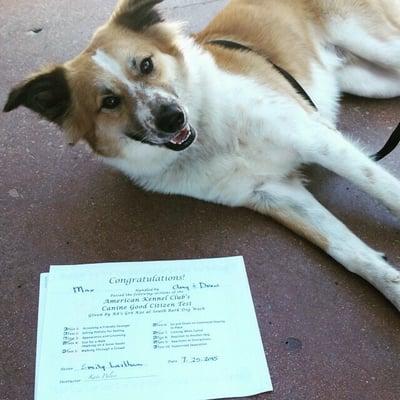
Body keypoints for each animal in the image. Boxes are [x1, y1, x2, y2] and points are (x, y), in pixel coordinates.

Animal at [3, 0, 400, 310]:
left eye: (145, 64)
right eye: (109, 102)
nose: (172, 118)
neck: (209, 137)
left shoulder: (314, 137)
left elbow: (383, 187)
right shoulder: (273, 192)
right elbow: (349, 251)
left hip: (378, 45)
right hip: (372, 80)